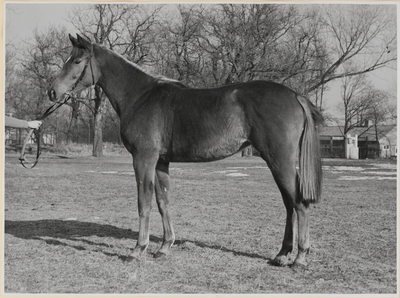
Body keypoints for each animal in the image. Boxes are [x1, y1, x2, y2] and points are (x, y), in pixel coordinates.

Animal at [48, 35, 324, 268]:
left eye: (77, 61)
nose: (53, 92)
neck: (140, 96)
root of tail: (294, 95)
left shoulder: (143, 158)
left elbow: (144, 202)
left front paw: (138, 249)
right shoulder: (160, 162)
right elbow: (163, 201)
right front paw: (164, 247)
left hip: (280, 160)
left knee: (298, 203)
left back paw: (300, 257)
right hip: (276, 162)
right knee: (289, 204)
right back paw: (282, 254)